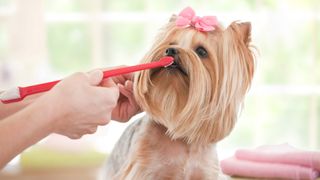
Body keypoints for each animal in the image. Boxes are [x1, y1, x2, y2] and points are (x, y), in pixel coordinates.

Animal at [102, 6, 255, 179]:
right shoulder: (143, 170)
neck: (182, 139)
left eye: (201, 51)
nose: (171, 50)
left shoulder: (205, 172)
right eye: (171, 43)